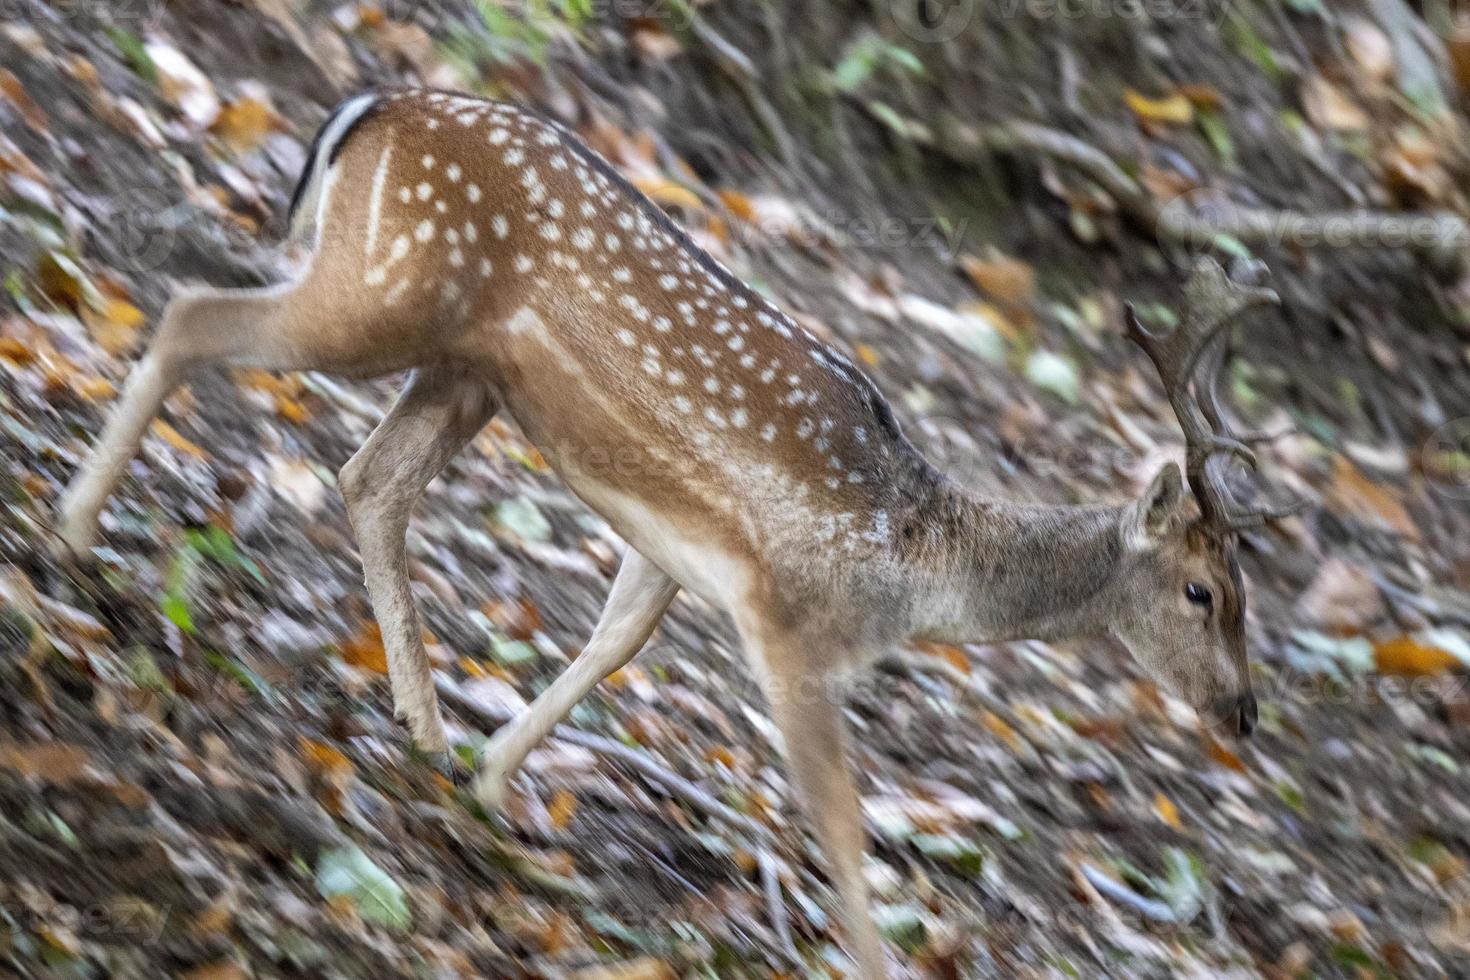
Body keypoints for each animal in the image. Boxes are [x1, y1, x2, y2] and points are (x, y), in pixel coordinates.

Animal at [54, 88, 1299, 975]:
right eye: (1203, 589)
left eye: (1250, 589)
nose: (1242, 709)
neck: (915, 566)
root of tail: (375, 107)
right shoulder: (793, 635)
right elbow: (841, 823)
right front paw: (870, 958)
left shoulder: (671, 552)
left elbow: (610, 648)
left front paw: (495, 786)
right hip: (383, 289)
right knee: (194, 316)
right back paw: (70, 532)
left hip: (462, 364)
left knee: (369, 476)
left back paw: (424, 726)